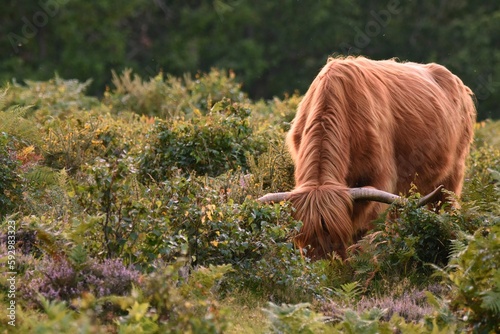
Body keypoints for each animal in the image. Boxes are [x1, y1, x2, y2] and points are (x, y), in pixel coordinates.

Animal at [260, 56, 474, 260]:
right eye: (303, 239)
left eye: (337, 235)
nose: (323, 265)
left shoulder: (379, 182)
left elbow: (364, 235)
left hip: (451, 177)